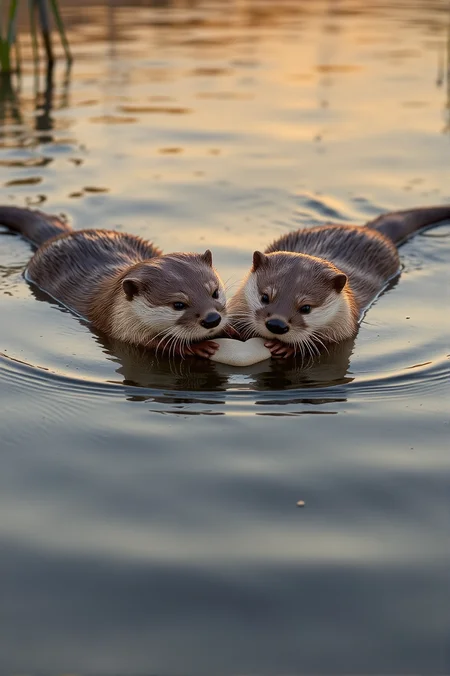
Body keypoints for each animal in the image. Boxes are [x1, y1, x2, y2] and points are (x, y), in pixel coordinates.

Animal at [0, 206, 227, 358]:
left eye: (215, 292)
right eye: (178, 304)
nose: (212, 319)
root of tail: (64, 234)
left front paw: (229, 329)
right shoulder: (120, 327)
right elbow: (153, 344)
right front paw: (197, 347)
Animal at [228, 205, 450, 358]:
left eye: (306, 308)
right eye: (265, 297)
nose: (276, 324)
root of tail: (367, 229)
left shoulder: (346, 324)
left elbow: (328, 344)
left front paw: (285, 347)